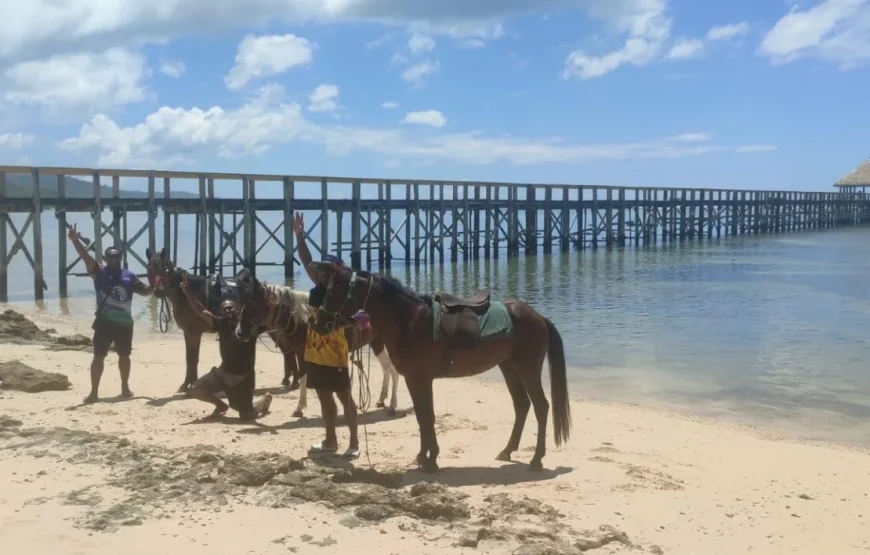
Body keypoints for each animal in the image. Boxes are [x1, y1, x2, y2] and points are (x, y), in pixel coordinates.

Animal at [297, 262, 571, 474]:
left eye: (336, 290)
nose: (318, 323)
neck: (408, 322)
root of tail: (538, 317)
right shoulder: (412, 379)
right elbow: (421, 416)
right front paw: (423, 457)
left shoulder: (421, 378)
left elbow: (427, 416)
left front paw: (431, 461)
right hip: (509, 367)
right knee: (522, 405)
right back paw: (507, 451)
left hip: (528, 368)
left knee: (541, 407)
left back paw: (536, 460)